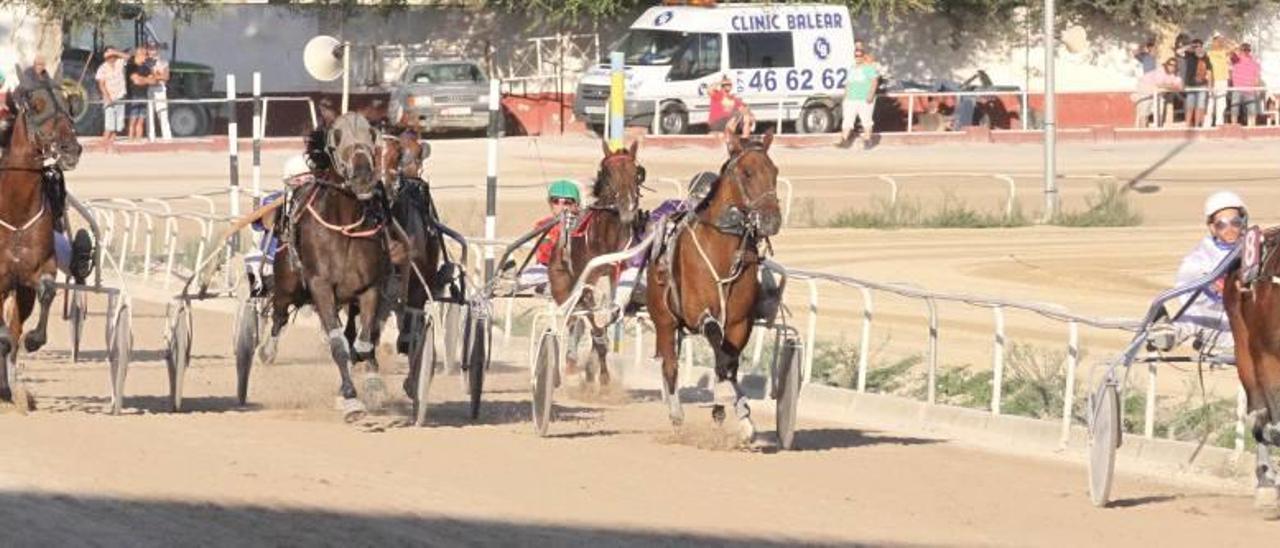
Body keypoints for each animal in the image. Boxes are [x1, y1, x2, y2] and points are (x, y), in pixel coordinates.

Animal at [0, 82, 82, 407]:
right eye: (36, 107)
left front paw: (34, 340)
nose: (70, 149)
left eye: (68, 106)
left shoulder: (34, 272)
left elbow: (46, 291)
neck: (15, 210)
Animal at [550, 140, 650, 384]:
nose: (627, 205)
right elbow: (594, 324)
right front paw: (599, 371)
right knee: (573, 318)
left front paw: (594, 367)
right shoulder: (587, 282)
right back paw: (570, 361)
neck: (607, 237)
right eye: (607, 172)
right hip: (560, 284)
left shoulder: (619, 277)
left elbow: (611, 314)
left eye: (637, 172)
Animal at [645, 130, 783, 443]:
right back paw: (676, 415)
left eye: (775, 171)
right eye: (746, 172)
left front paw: (740, 417)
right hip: (664, 319)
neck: (722, 250)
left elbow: (729, 363)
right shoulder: (700, 313)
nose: (771, 220)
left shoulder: (739, 322)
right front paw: (735, 410)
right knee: (670, 365)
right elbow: (720, 357)